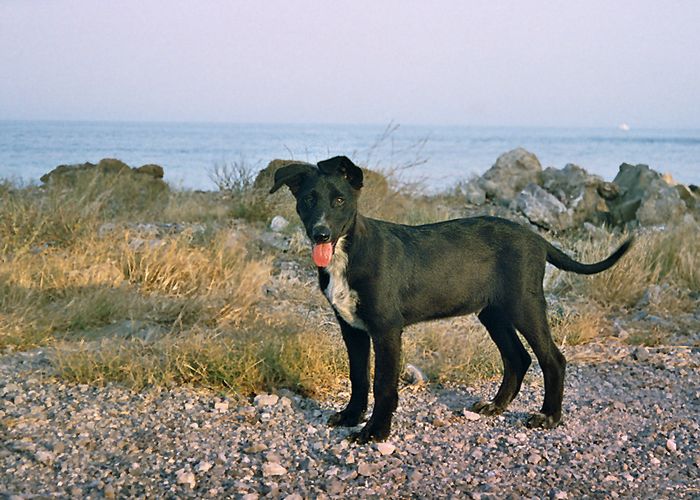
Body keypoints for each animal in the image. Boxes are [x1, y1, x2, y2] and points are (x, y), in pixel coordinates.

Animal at [270, 155, 632, 442]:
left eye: (339, 200)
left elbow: (383, 384)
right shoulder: (352, 328)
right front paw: (351, 417)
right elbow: (358, 377)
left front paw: (375, 431)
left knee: (553, 359)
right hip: (493, 312)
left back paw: (549, 417)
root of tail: (537, 238)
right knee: (517, 358)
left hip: (524, 305)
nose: (321, 234)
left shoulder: (386, 329)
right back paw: (496, 406)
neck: (350, 251)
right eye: (308, 199)